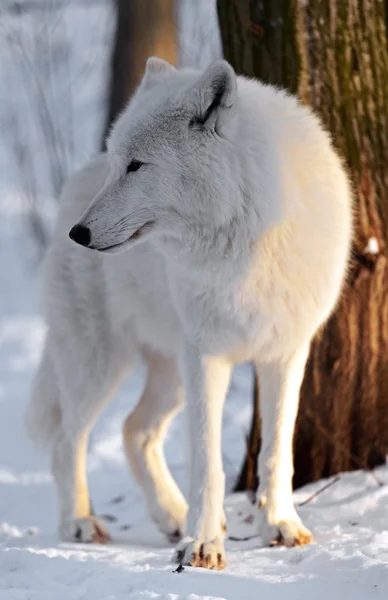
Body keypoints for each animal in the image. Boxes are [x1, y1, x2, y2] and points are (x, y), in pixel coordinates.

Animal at [27, 58, 354, 568]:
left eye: (136, 165)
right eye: (118, 163)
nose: (78, 233)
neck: (247, 241)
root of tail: (72, 188)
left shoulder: (285, 352)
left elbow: (277, 451)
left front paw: (279, 525)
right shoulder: (206, 357)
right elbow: (207, 462)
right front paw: (203, 545)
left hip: (167, 371)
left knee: (134, 430)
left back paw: (172, 515)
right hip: (102, 362)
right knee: (68, 439)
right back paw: (81, 523)